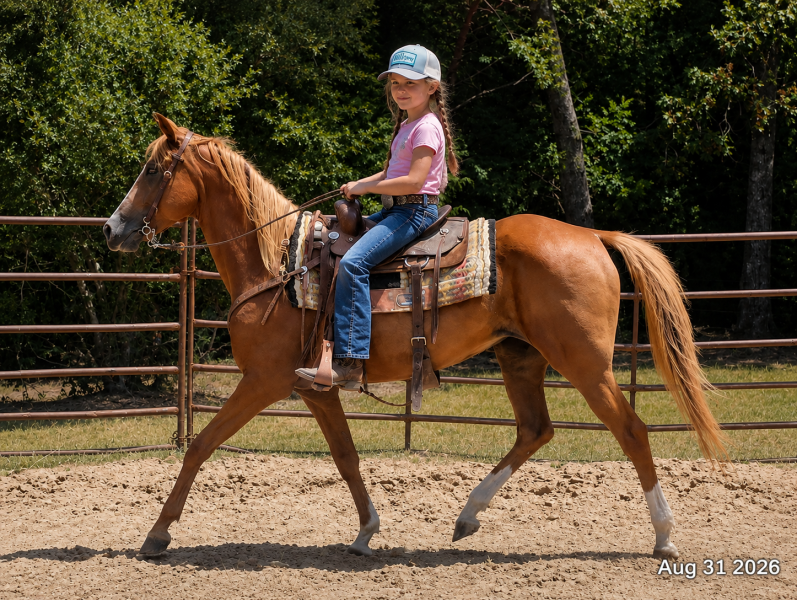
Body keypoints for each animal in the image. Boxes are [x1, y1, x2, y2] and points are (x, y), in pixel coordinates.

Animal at [104, 113, 726, 559]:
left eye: (153, 170)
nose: (112, 228)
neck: (278, 264)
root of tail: (594, 237)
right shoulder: (314, 387)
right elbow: (346, 457)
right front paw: (365, 532)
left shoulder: (263, 381)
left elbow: (201, 446)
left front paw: (157, 535)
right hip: (521, 357)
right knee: (535, 430)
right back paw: (467, 516)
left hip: (585, 363)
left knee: (632, 431)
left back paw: (664, 537)